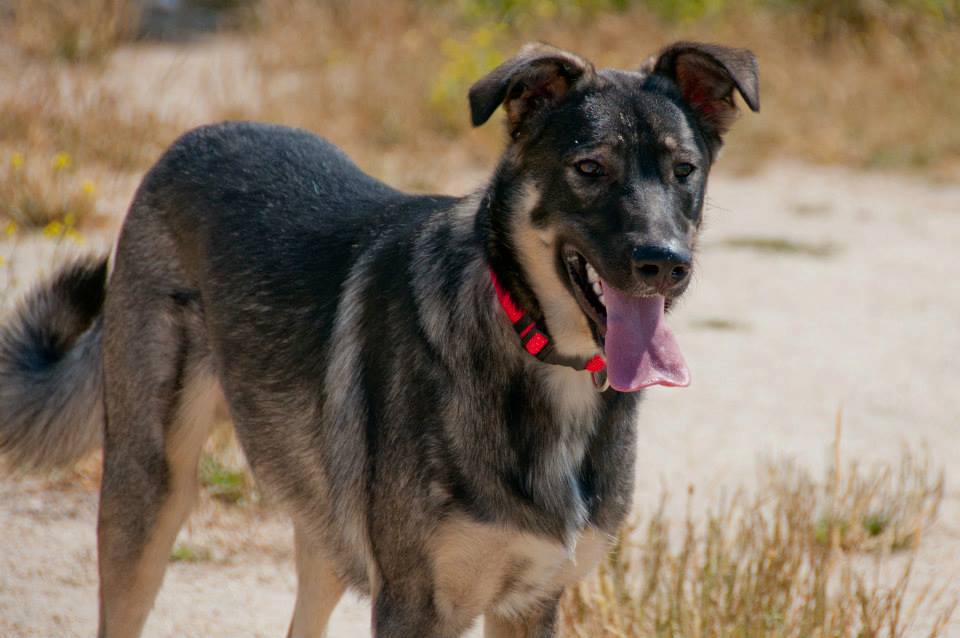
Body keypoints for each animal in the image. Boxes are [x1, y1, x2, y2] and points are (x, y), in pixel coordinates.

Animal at [0, 42, 760, 636]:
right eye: (590, 169)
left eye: (684, 171)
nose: (665, 263)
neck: (530, 347)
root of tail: (194, 138)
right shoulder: (413, 605)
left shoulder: (529, 602)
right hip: (148, 494)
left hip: (325, 527)